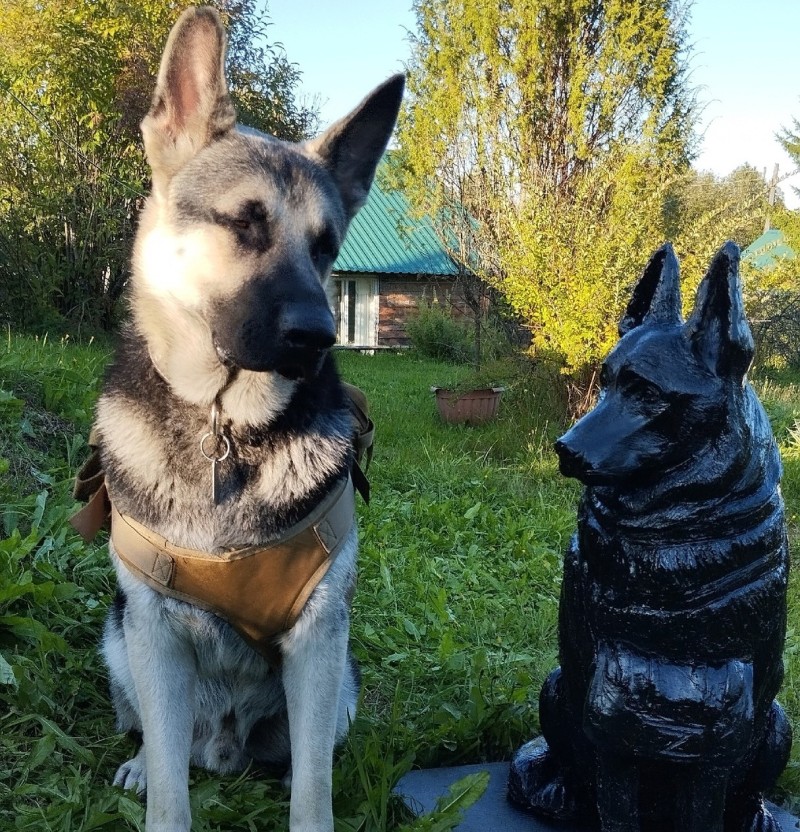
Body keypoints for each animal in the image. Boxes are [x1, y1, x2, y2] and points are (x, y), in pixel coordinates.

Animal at [90, 8, 404, 832]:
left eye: (327, 246)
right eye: (246, 224)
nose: (319, 336)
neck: (227, 433)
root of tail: (226, 747)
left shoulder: (320, 643)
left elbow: (313, 792)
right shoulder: (155, 633)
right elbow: (170, 791)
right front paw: (155, 781)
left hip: (338, 684)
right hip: (122, 642)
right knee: (156, 734)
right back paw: (139, 759)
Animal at [510, 242, 792, 832]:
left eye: (646, 392)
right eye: (606, 378)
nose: (565, 449)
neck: (674, 540)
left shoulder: (716, 731)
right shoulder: (610, 717)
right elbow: (613, 794)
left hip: (780, 726)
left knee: (746, 789)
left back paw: (756, 816)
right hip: (554, 690)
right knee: (572, 769)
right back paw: (555, 790)